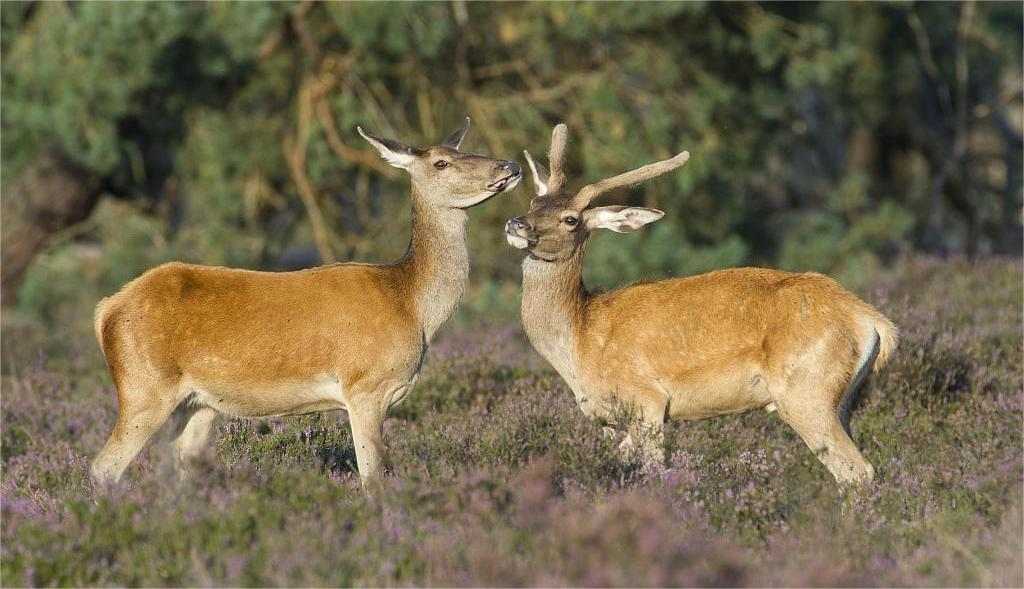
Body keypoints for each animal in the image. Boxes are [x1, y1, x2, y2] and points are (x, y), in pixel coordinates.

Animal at [90, 117, 520, 491]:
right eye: (441, 162)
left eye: (459, 149)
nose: (510, 164)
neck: (411, 304)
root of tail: (105, 310)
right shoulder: (364, 387)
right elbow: (373, 478)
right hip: (144, 388)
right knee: (103, 467)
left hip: (198, 404)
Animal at [503, 123, 897, 483]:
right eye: (534, 203)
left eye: (571, 219)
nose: (516, 224)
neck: (581, 340)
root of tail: (871, 320)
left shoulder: (646, 398)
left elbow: (654, 471)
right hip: (842, 399)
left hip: (806, 391)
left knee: (856, 471)